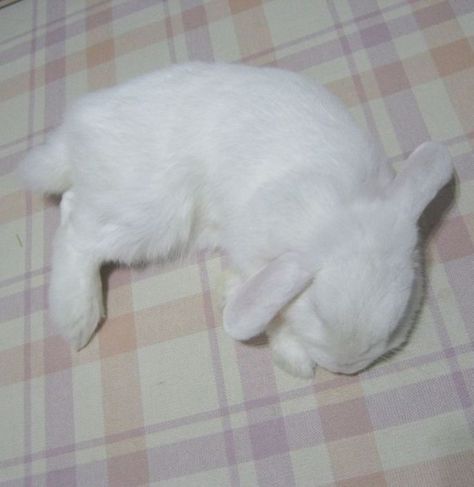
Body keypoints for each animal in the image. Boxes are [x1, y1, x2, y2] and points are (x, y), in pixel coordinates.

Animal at [18, 63, 454, 380]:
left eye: (395, 324)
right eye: (317, 311)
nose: (345, 368)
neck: (341, 213)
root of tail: (78, 129)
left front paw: (231, 298)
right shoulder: (262, 248)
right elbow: (270, 308)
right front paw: (294, 360)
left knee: (71, 205)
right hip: (148, 213)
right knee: (77, 236)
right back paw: (77, 318)